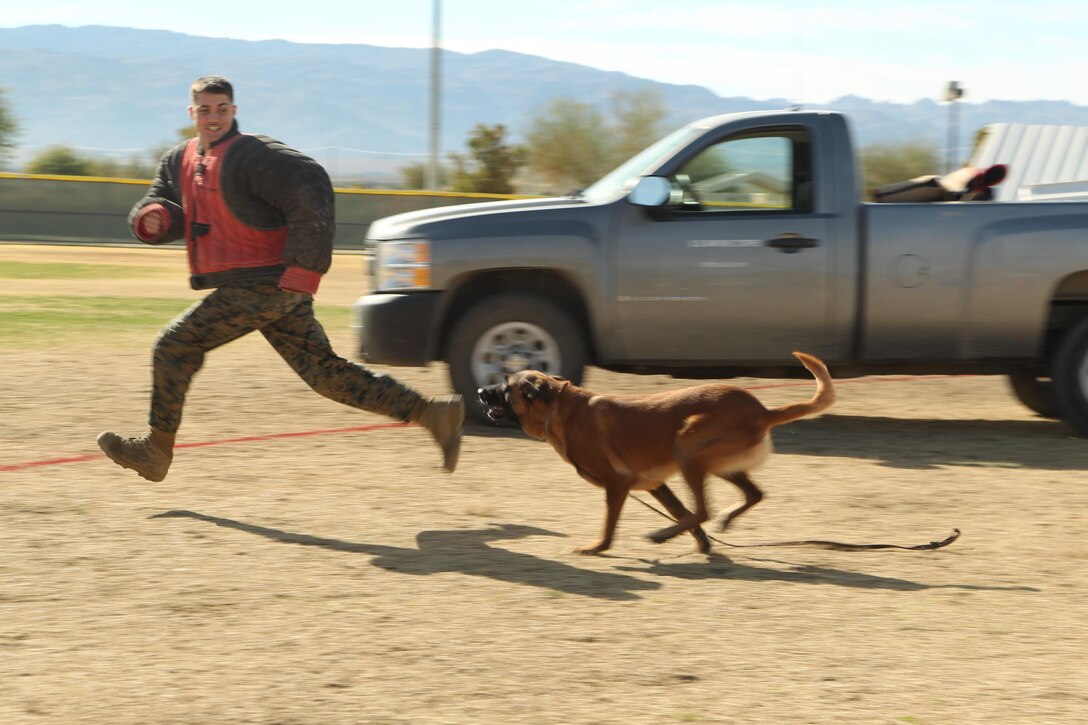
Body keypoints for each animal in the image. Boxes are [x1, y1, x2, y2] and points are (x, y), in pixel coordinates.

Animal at [476, 350, 831, 553]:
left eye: (505, 387)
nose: (480, 390)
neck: (560, 409)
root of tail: (763, 411)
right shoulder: (656, 485)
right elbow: (682, 514)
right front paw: (703, 544)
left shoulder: (617, 484)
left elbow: (610, 523)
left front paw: (597, 548)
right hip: (718, 464)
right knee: (750, 495)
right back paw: (716, 524)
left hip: (687, 447)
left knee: (704, 509)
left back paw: (662, 535)